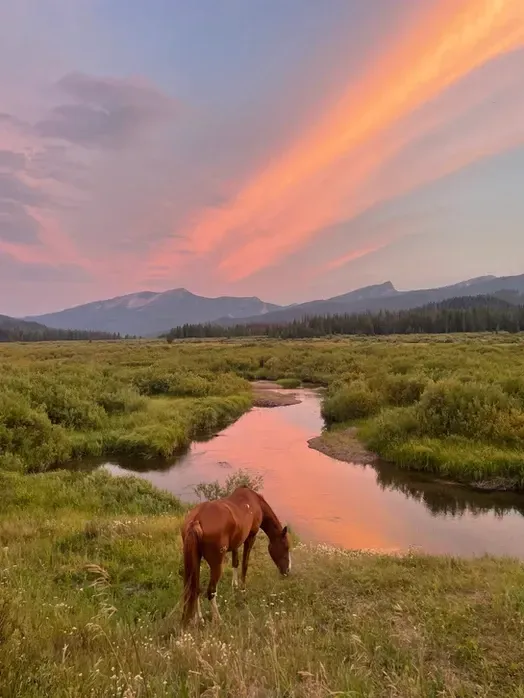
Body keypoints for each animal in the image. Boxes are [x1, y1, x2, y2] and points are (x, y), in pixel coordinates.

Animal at [181, 486, 290, 626]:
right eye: (286, 547)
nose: (287, 571)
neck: (254, 502)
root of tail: (196, 520)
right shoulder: (250, 537)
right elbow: (244, 564)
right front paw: (242, 589)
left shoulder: (236, 543)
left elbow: (235, 562)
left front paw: (235, 585)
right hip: (216, 564)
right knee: (211, 591)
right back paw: (218, 619)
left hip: (196, 560)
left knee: (195, 588)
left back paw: (198, 618)